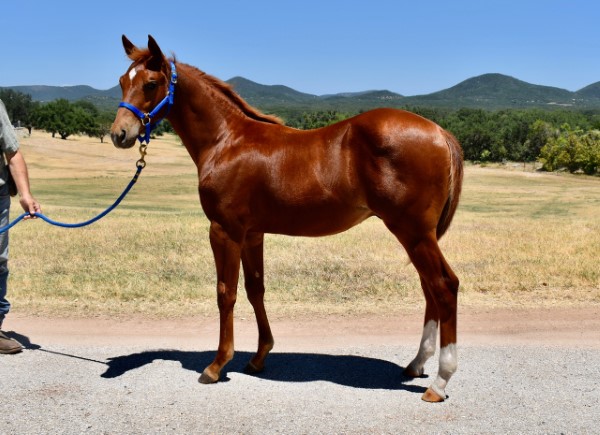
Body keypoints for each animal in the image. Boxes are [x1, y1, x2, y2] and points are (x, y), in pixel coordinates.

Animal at [109, 35, 464, 402]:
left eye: (151, 83)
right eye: (122, 81)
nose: (120, 133)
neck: (226, 141)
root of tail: (440, 133)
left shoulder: (224, 231)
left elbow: (226, 293)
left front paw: (217, 365)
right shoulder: (252, 234)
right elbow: (255, 289)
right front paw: (259, 356)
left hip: (413, 232)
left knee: (444, 286)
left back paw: (440, 381)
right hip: (417, 235)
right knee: (429, 288)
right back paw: (417, 364)